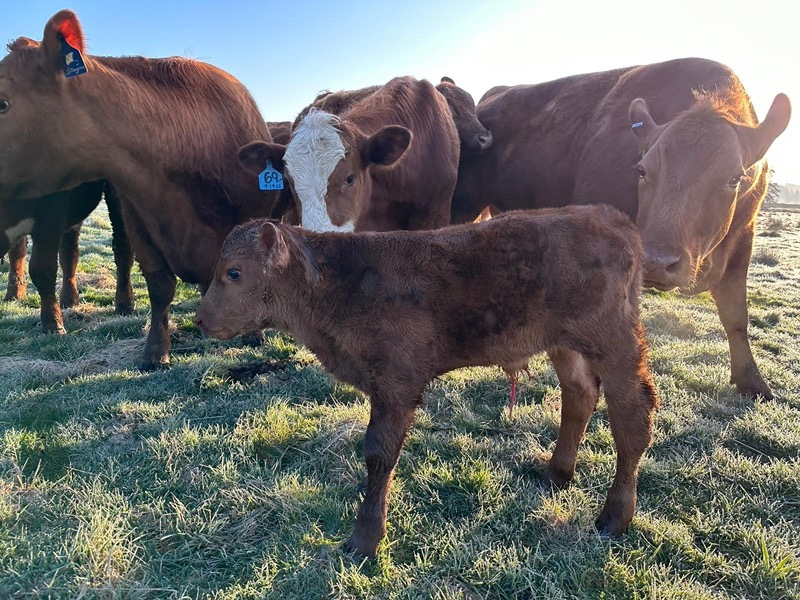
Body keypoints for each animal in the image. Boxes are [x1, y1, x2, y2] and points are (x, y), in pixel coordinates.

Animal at [1, 181, 134, 332]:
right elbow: (17, 251)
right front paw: (15, 294)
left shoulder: (51, 211)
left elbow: (42, 270)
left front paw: (53, 323)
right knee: (68, 252)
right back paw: (67, 299)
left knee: (122, 245)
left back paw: (125, 305)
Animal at [194, 206, 660, 558]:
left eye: (233, 273)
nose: (200, 319)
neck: (338, 284)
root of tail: (611, 217)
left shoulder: (396, 383)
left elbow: (379, 452)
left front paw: (364, 539)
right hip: (564, 343)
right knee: (579, 394)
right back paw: (557, 473)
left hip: (614, 342)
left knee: (632, 414)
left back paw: (614, 517)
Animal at [450, 57, 791, 399]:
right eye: (642, 169)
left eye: (735, 178)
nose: (657, 262)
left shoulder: (743, 238)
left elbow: (736, 316)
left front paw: (752, 382)